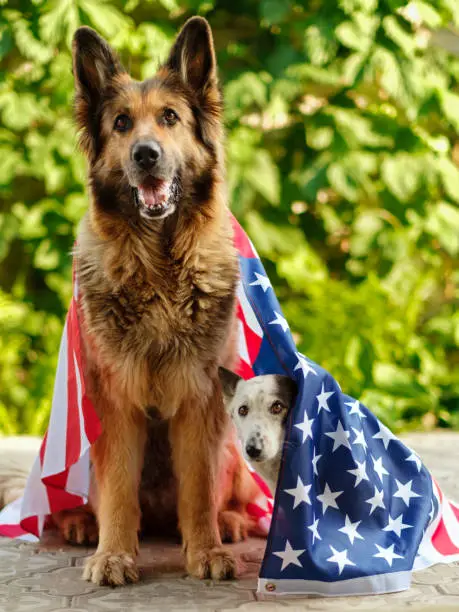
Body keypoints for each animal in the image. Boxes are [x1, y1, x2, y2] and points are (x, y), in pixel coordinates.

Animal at [62, 16, 258, 584]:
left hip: (235, 447)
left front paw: (207, 551)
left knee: (225, 496)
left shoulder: (198, 398)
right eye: (122, 124)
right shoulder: (113, 402)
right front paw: (112, 555)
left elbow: (198, 489)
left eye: (170, 118)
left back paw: (230, 522)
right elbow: (118, 490)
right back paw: (79, 524)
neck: (160, 270)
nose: (145, 155)